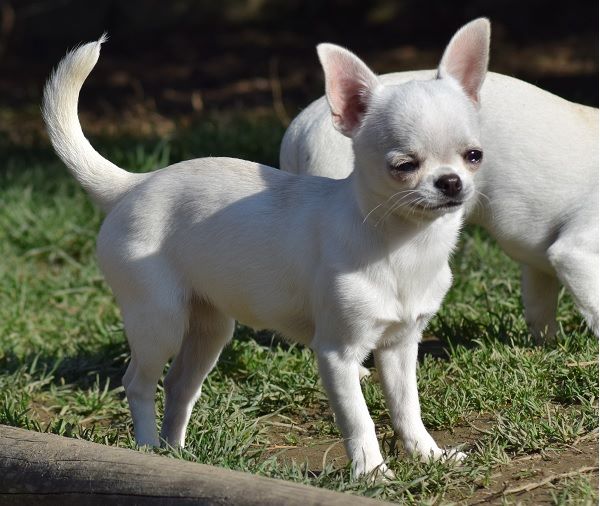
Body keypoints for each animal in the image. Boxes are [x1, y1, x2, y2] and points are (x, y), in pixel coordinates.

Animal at [43, 19, 489, 478]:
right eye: (404, 166)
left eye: (474, 156)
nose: (451, 182)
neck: (404, 246)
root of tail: (133, 184)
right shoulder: (337, 354)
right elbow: (358, 418)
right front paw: (372, 473)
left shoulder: (400, 346)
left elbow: (406, 406)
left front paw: (427, 454)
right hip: (159, 320)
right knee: (138, 383)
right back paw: (149, 447)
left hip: (210, 328)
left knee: (179, 383)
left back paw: (178, 451)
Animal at [281, 23, 599, 342]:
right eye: (405, 166)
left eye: (474, 156)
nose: (451, 182)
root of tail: (298, 130)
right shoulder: (576, 254)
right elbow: (596, 308)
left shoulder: (539, 265)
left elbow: (539, 306)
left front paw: (548, 344)